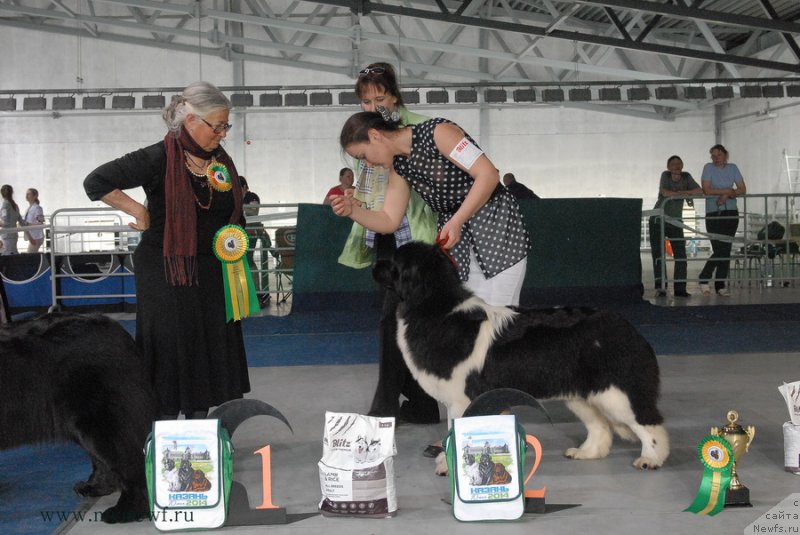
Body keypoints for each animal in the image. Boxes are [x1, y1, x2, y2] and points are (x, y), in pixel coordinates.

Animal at [0, 314, 156, 524]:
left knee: (130, 462)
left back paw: (126, 510)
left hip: (100, 422)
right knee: (104, 462)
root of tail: (118, 331)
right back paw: (94, 487)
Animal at [376, 243, 668, 474]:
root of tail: (627, 327)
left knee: (647, 422)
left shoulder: (462, 399)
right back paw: (586, 452)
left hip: (616, 392)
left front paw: (449, 467)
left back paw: (651, 458)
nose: (375, 264)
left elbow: (456, 435)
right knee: (600, 426)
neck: (437, 306)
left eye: (394, 262)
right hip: (582, 393)